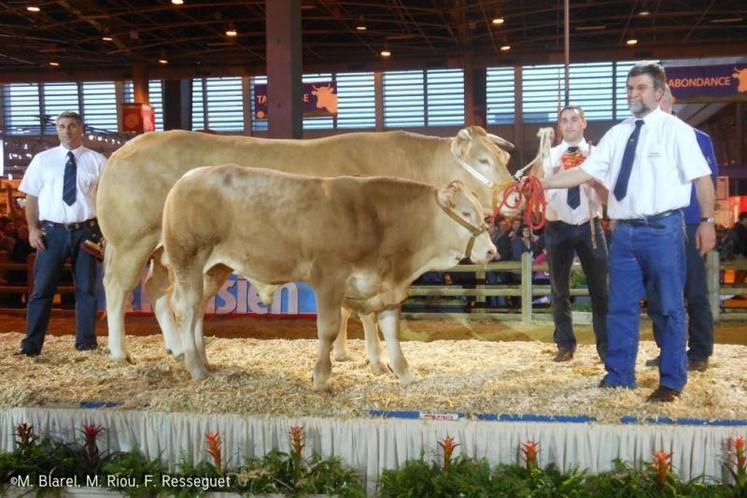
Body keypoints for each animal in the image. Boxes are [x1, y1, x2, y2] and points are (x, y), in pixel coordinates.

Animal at [98, 126, 516, 364]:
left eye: (505, 156)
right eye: (482, 160)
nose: (514, 196)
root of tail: (123, 149)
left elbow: (348, 309)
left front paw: (344, 352)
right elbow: (362, 313)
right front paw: (368, 358)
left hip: (169, 254)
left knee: (160, 292)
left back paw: (179, 348)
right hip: (132, 241)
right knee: (118, 289)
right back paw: (120, 352)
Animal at [162, 165, 496, 388]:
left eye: (481, 213)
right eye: (467, 213)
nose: (492, 251)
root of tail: (187, 178)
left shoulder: (385, 288)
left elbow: (390, 331)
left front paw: (404, 374)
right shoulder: (329, 279)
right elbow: (328, 329)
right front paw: (321, 377)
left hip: (214, 269)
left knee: (198, 311)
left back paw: (204, 360)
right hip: (188, 259)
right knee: (186, 308)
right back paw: (195, 367)